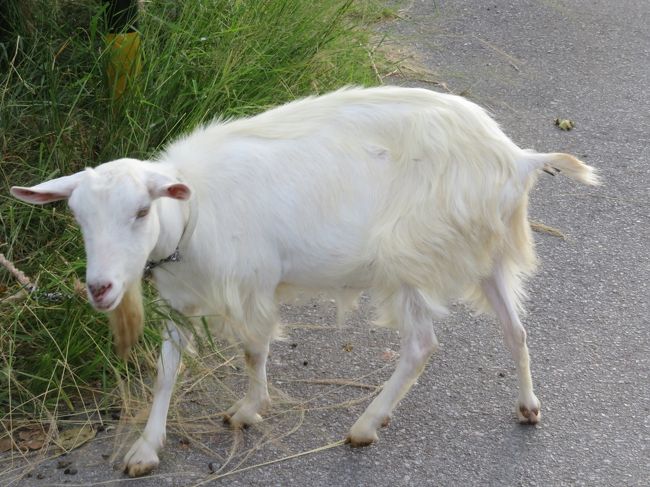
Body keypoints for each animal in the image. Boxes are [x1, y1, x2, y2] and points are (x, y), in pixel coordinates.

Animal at [10, 86, 596, 476]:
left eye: (139, 211)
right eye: (78, 216)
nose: (100, 289)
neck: (189, 217)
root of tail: (516, 157)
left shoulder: (253, 283)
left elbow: (254, 350)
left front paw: (250, 410)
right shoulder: (180, 298)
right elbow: (165, 372)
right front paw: (146, 449)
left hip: (411, 253)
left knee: (421, 344)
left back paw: (365, 425)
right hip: (483, 250)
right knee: (515, 330)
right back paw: (528, 407)